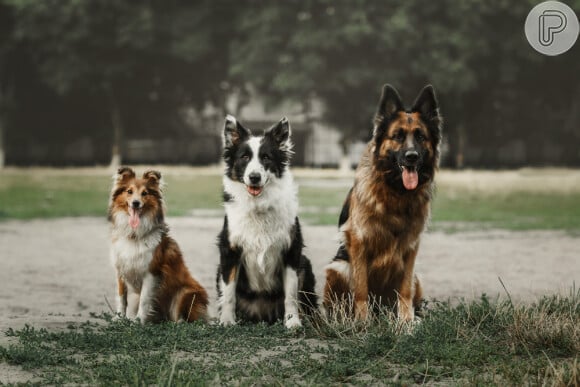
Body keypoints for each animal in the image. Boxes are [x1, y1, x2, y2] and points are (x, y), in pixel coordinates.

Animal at [109, 168, 208, 322]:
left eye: (145, 193)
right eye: (129, 191)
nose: (136, 203)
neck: (134, 235)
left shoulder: (151, 272)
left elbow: (144, 300)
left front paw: (138, 321)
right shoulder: (120, 269)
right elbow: (122, 298)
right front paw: (119, 319)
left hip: (186, 292)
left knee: (183, 317)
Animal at [324, 85, 442, 324]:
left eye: (420, 136)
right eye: (397, 136)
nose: (412, 156)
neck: (396, 192)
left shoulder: (411, 247)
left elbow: (405, 290)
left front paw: (406, 322)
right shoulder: (358, 242)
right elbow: (361, 288)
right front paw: (362, 322)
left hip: (417, 278)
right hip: (338, 268)